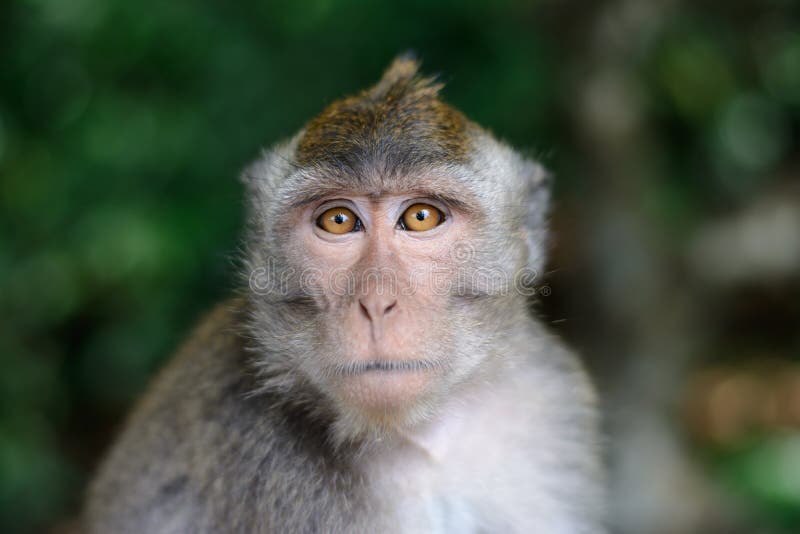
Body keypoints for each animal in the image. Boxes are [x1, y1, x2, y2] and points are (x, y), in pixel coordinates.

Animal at [84, 55, 604, 534]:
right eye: (337, 220)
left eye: (421, 217)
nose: (376, 304)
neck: (419, 439)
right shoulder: (261, 455)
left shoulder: (548, 395)